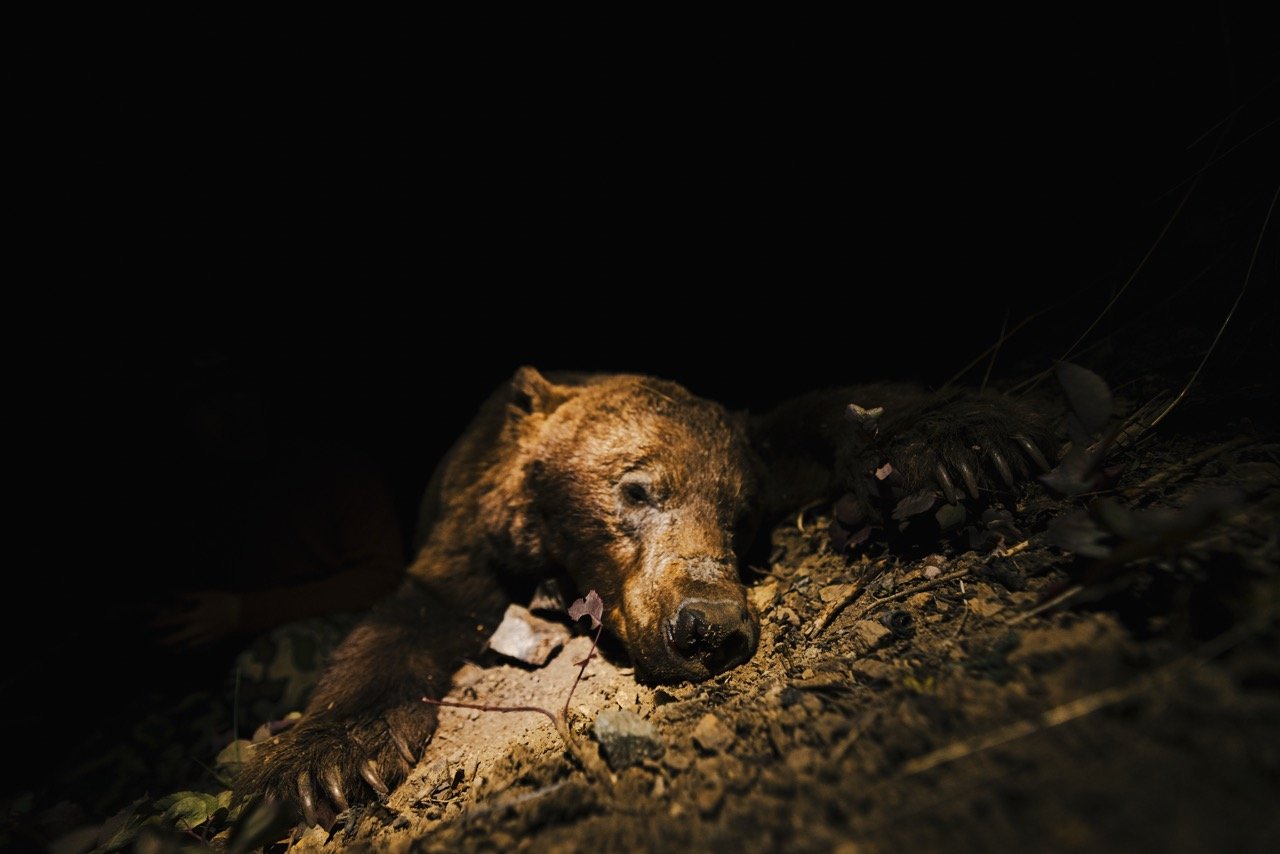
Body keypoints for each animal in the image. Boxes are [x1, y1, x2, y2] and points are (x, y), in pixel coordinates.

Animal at [235, 367, 1054, 825]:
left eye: (740, 514)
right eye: (635, 488)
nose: (709, 628)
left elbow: (824, 413)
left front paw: (973, 438)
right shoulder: (472, 541)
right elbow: (402, 620)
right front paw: (320, 762)